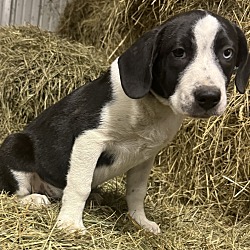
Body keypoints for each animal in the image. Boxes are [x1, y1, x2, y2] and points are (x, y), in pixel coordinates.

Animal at [0, 9, 250, 233]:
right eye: (178, 52)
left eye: (227, 53)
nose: (208, 97)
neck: (151, 108)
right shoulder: (89, 139)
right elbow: (79, 185)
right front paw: (70, 224)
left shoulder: (146, 156)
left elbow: (137, 192)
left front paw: (140, 221)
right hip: (14, 145)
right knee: (13, 192)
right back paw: (32, 200)